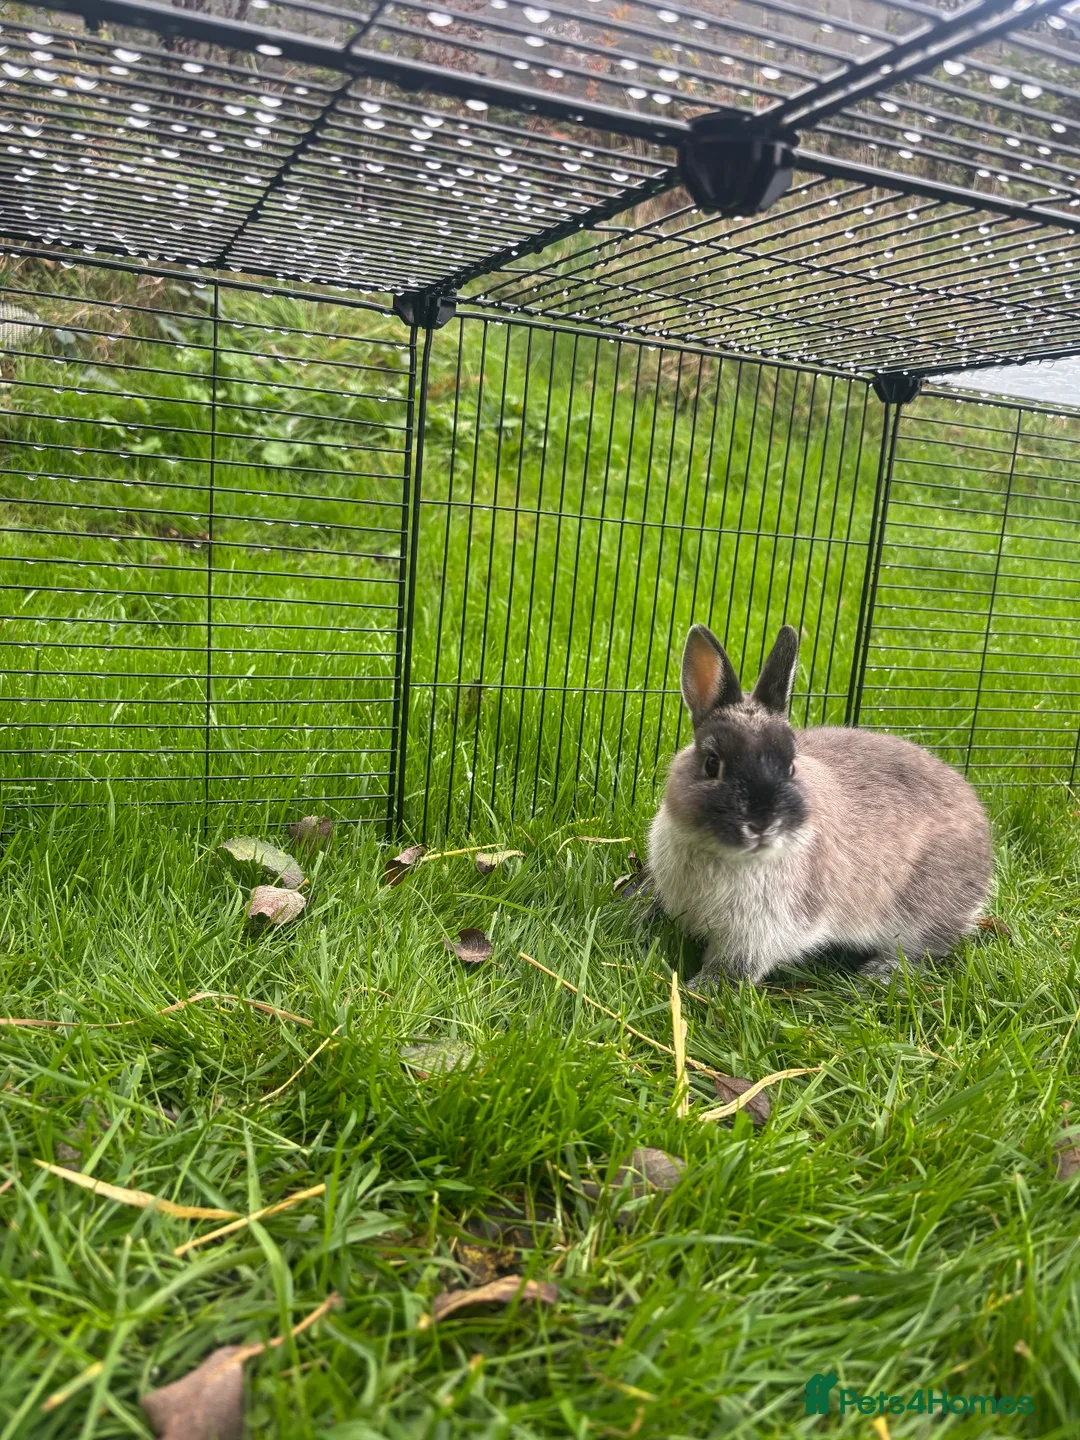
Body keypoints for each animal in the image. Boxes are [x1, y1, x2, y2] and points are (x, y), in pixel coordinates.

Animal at [648, 623, 993, 987]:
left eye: (790, 766)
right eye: (712, 764)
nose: (761, 824)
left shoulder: (762, 932)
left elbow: (738, 963)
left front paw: (702, 987)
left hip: (921, 909)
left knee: (927, 947)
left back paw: (881, 972)